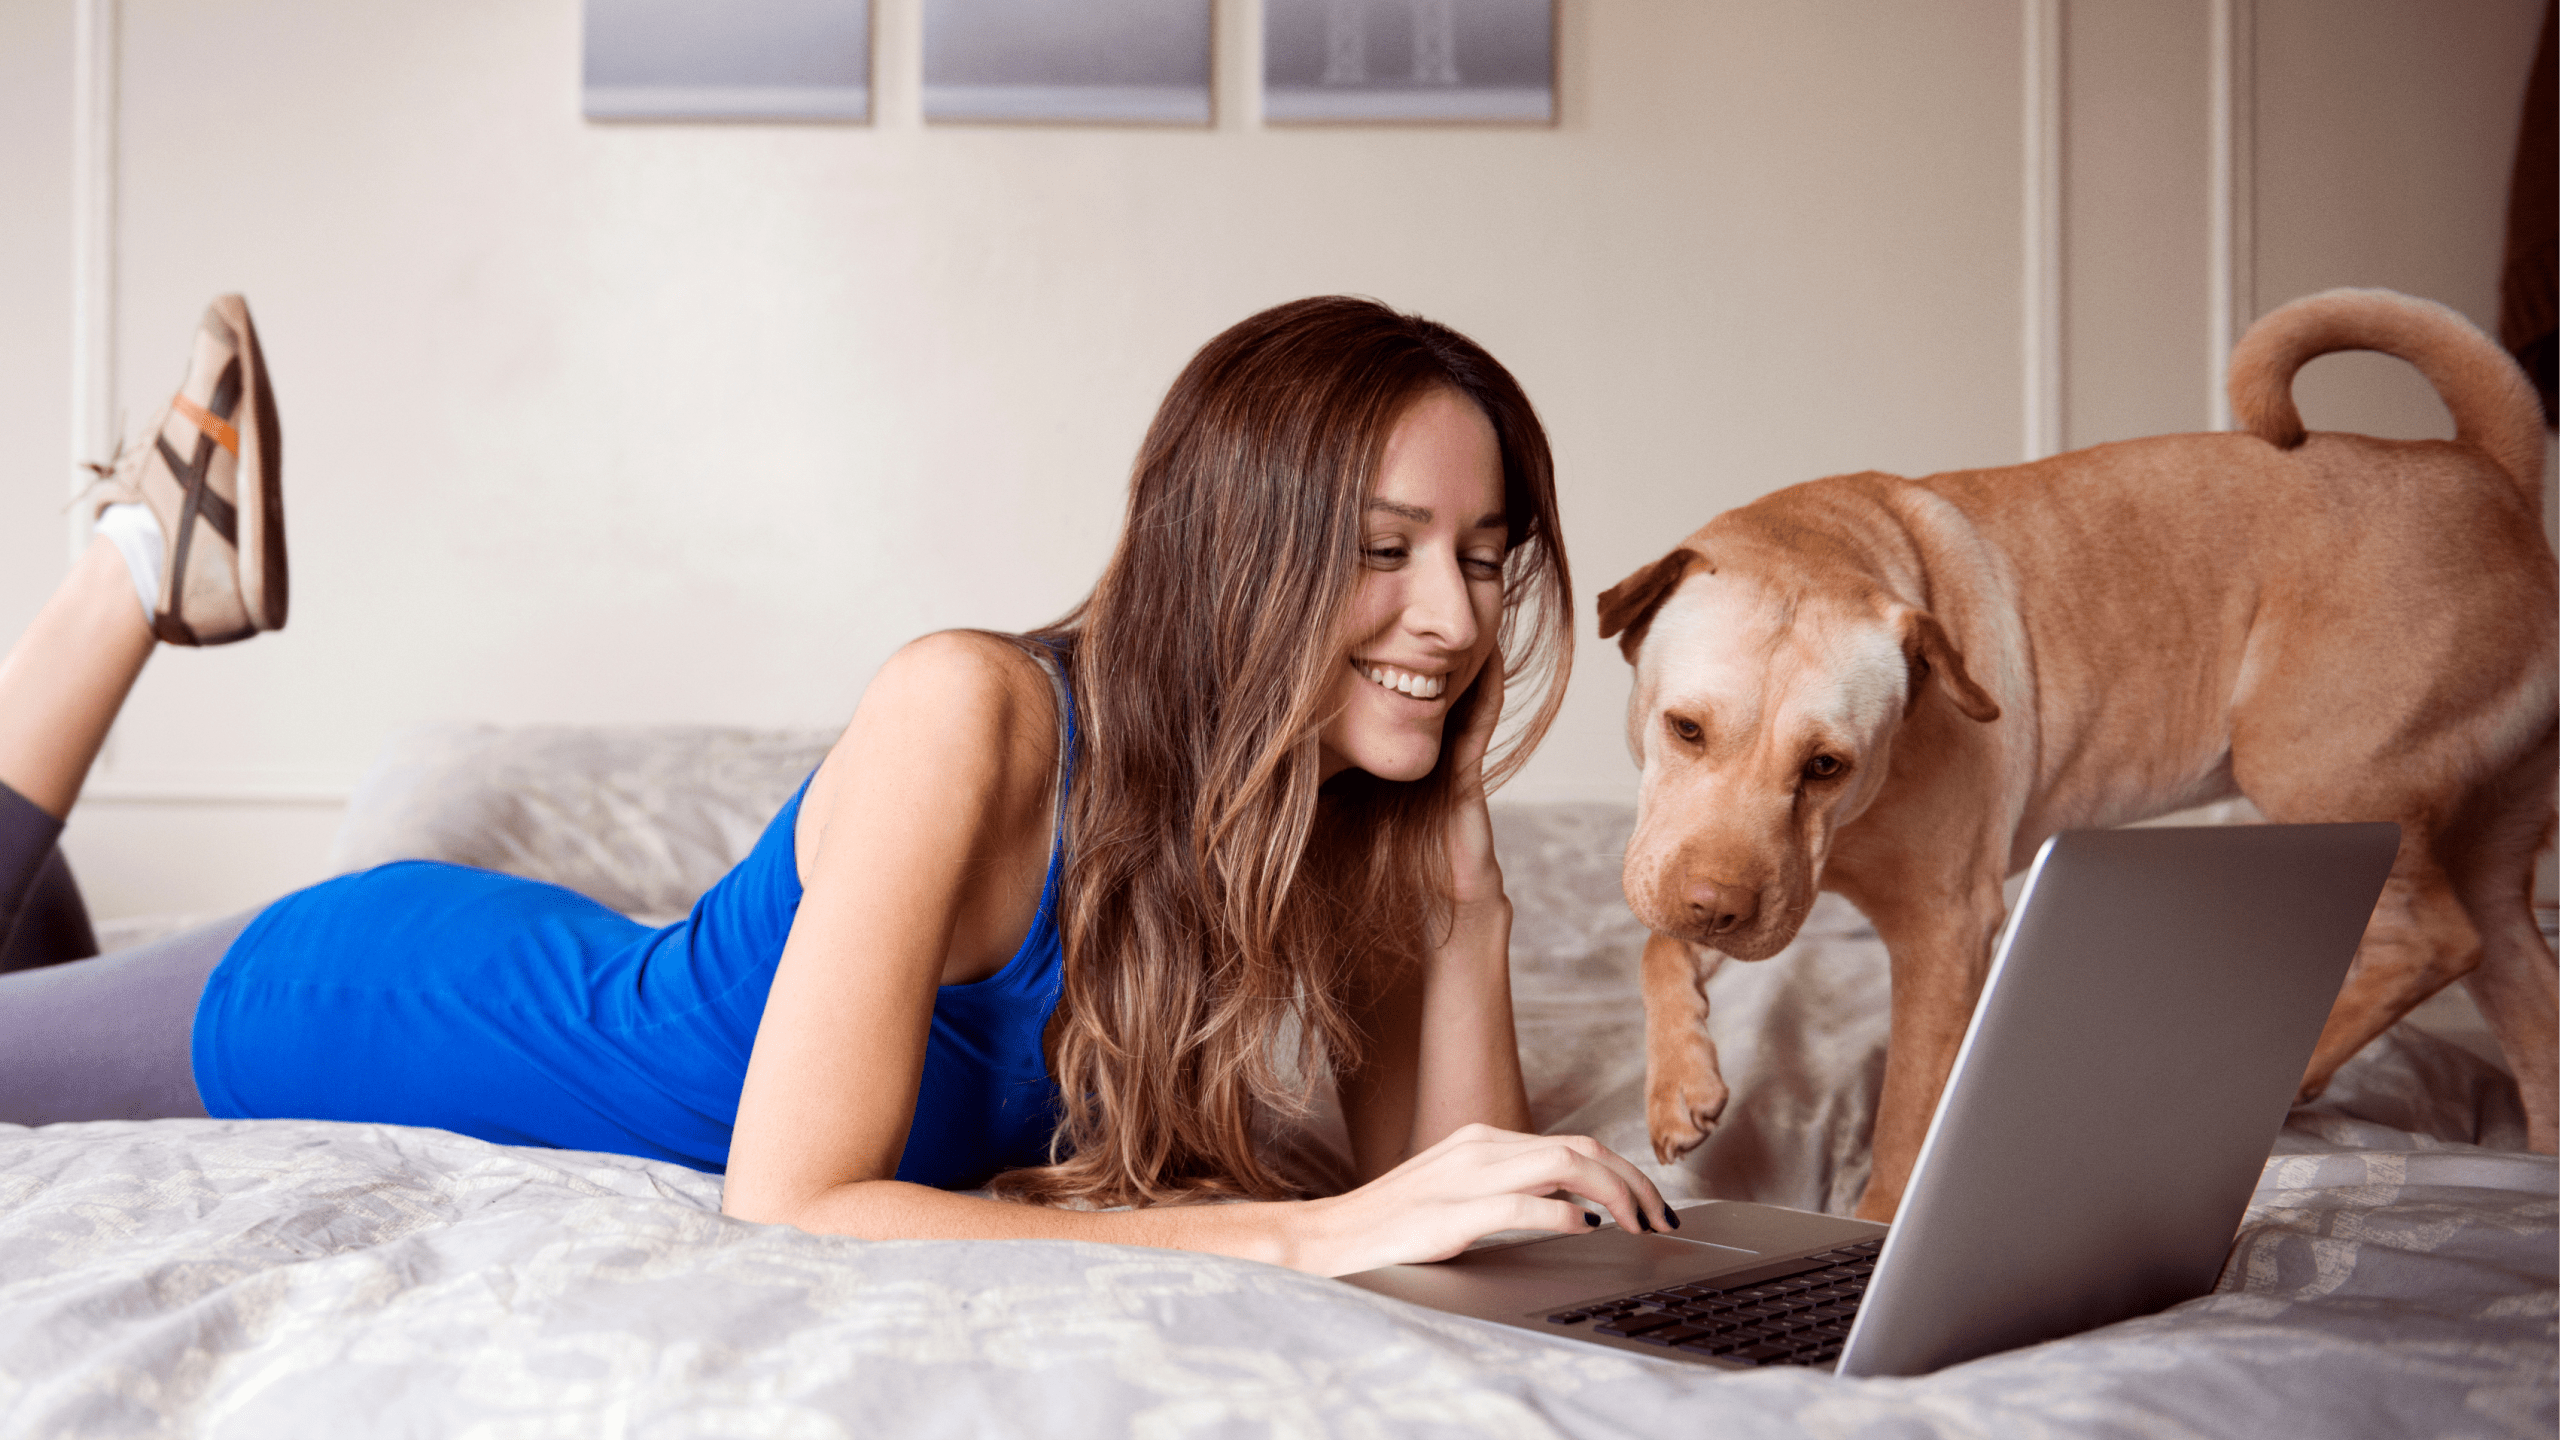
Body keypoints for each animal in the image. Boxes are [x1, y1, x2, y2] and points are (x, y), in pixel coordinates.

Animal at [1597, 285, 2560, 1214]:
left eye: (1826, 765)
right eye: (1685, 729)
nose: (1716, 909)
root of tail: (2489, 471)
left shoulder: (1946, 933)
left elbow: (1907, 1124)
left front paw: (1876, 1224)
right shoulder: (1722, 875)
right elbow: (1657, 946)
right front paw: (1679, 1081)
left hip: (2320, 777)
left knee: (2431, 939)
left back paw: (2291, 1071)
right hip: (2482, 852)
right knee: (2523, 990)